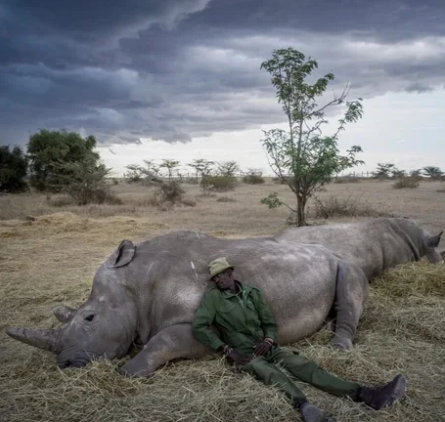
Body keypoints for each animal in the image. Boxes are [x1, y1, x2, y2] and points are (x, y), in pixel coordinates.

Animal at [6, 232, 368, 378]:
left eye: (90, 318)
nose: (65, 364)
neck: (134, 284)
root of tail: (330, 251)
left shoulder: (204, 327)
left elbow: (163, 339)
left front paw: (131, 371)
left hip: (344, 263)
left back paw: (338, 347)